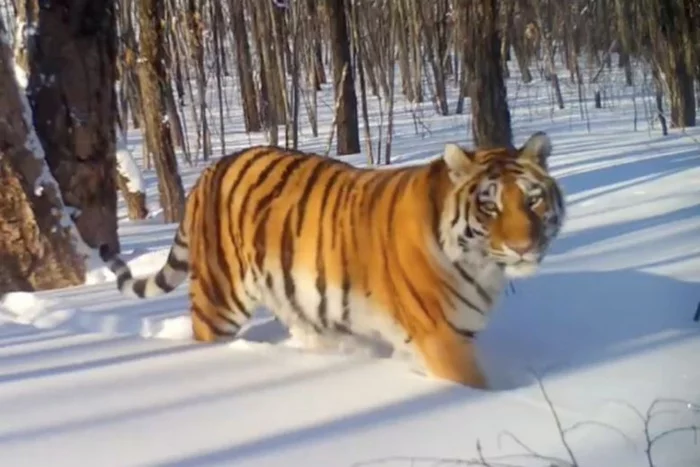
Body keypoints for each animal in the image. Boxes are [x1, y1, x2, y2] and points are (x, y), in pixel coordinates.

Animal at [101, 133, 568, 392]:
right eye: (489, 207)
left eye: (532, 200)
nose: (524, 247)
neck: (482, 267)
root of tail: (210, 170)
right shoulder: (443, 337)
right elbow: (474, 387)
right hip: (220, 297)